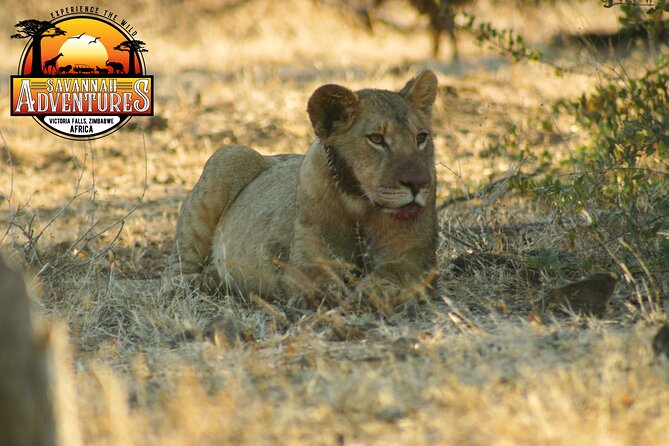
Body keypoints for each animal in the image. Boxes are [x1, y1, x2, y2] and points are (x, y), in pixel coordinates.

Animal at [164, 70, 439, 308]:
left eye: (421, 138)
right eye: (377, 139)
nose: (419, 183)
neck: (361, 204)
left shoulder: (415, 255)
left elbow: (394, 272)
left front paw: (375, 292)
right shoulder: (305, 259)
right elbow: (317, 279)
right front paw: (324, 296)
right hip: (229, 156)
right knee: (176, 272)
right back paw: (197, 286)